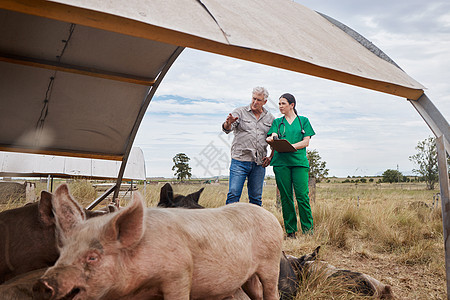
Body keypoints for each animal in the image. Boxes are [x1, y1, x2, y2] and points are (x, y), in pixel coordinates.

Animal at [33, 185, 284, 300]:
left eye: (93, 257)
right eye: (61, 252)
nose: (42, 284)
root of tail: (270, 215)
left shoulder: (179, 273)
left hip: (271, 263)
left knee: (272, 291)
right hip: (248, 276)